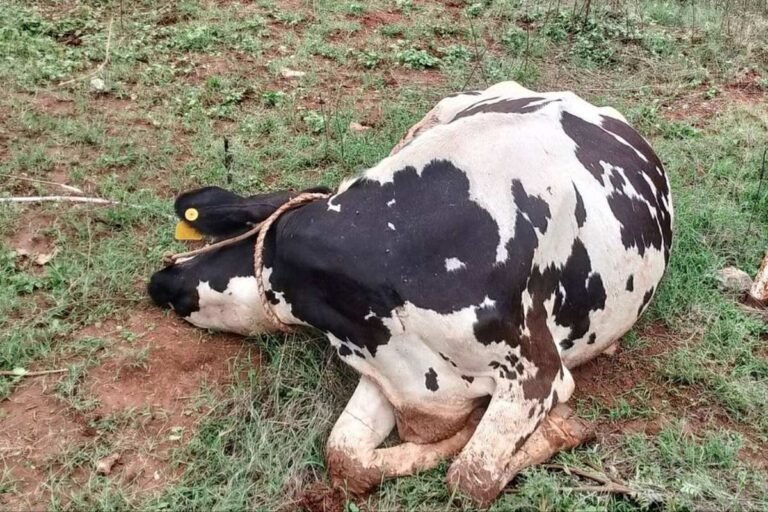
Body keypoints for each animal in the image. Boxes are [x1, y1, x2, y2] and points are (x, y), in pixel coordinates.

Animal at [148, 81, 673, 506]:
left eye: (228, 237)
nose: (161, 280)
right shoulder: (390, 371)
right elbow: (345, 456)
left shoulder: (538, 376)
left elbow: (470, 478)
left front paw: (558, 428)